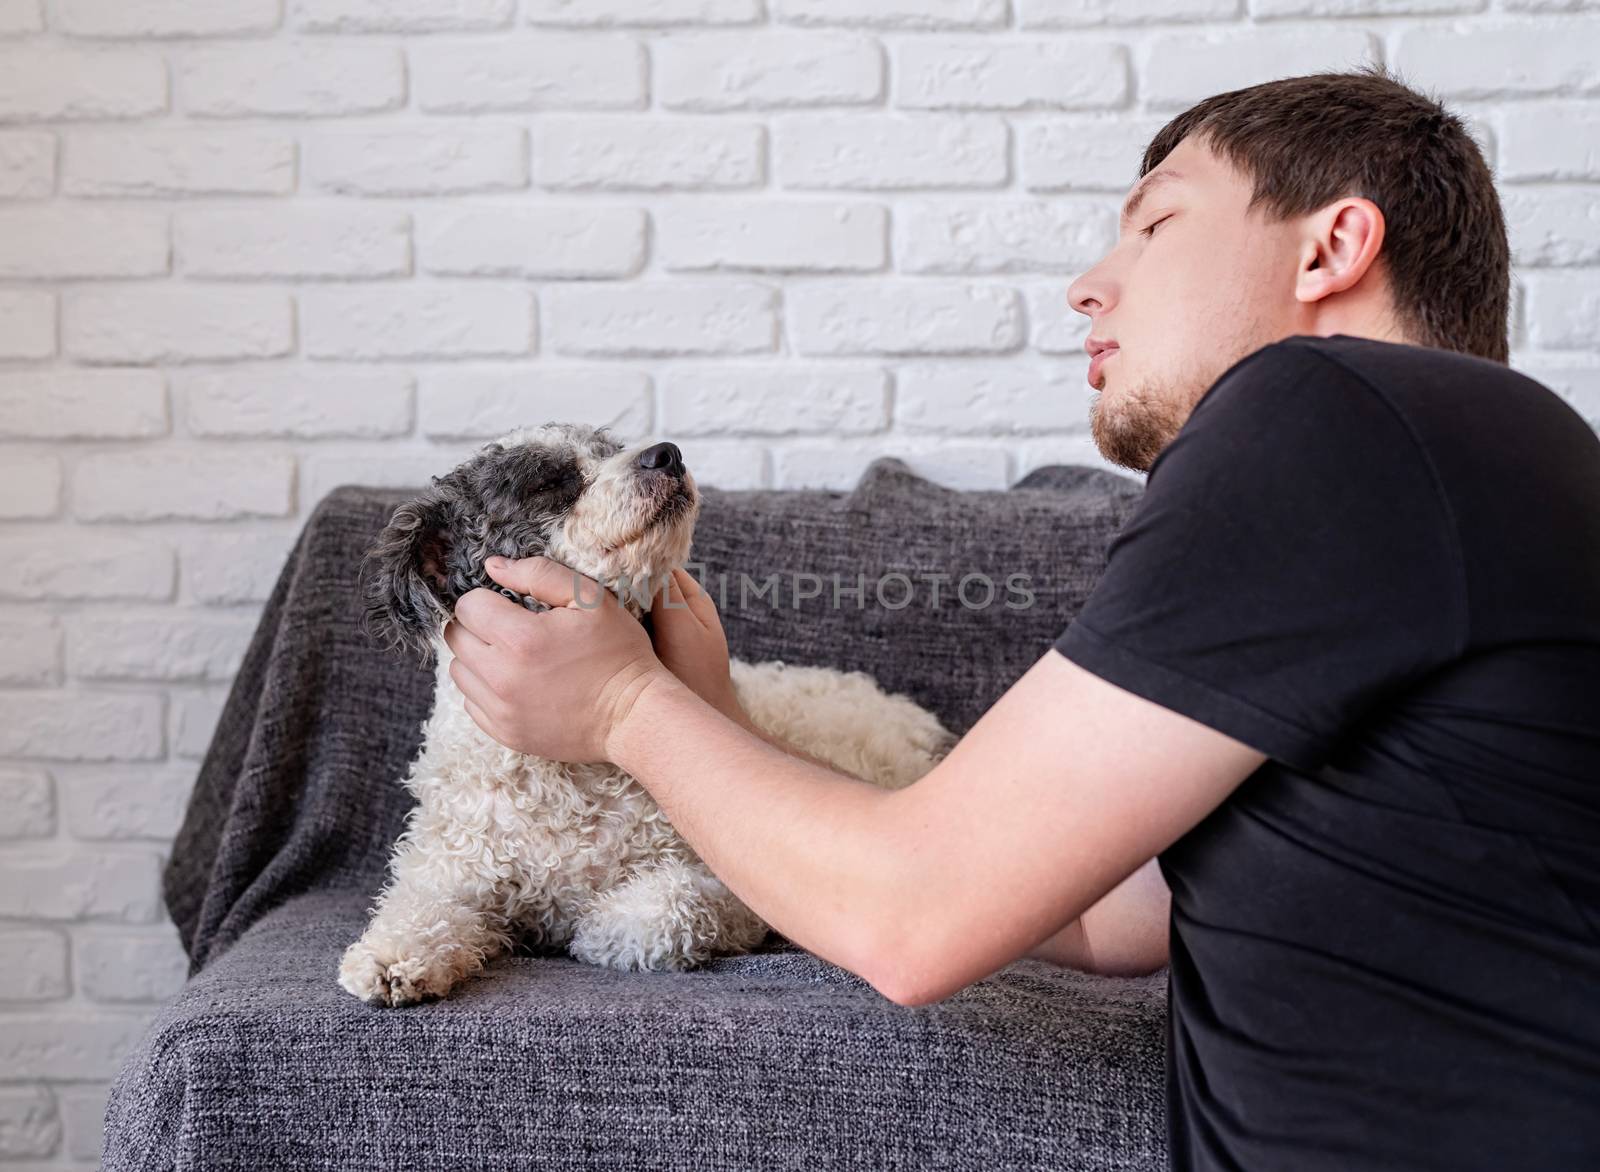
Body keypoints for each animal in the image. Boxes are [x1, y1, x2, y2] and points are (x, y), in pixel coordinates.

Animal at [337, 422, 953, 1005]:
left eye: (612, 448)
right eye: (548, 483)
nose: (666, 454)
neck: (569, 771)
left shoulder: (730, 889)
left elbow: (670, 904)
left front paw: (599, 927)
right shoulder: (451, 868)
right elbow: (421, 905)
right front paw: (392, 957)